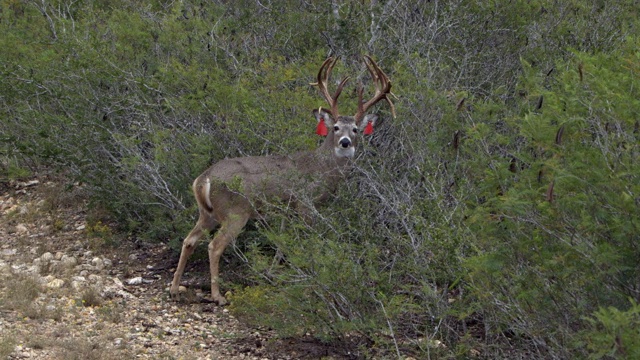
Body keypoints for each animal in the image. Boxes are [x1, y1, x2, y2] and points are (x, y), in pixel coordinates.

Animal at [170, 56, 392, 304]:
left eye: (355, 129)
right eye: (335, 127)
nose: (345, 142)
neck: (322, 168)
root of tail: (203, 179)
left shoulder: (287, 210)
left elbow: (281, 242)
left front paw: (273, 272)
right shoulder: (305, 203)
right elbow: (306, 240)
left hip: (207, 213)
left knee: (189, 240)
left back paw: (174, 289)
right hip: (235, 211)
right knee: (214, 246)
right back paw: (218, 296)